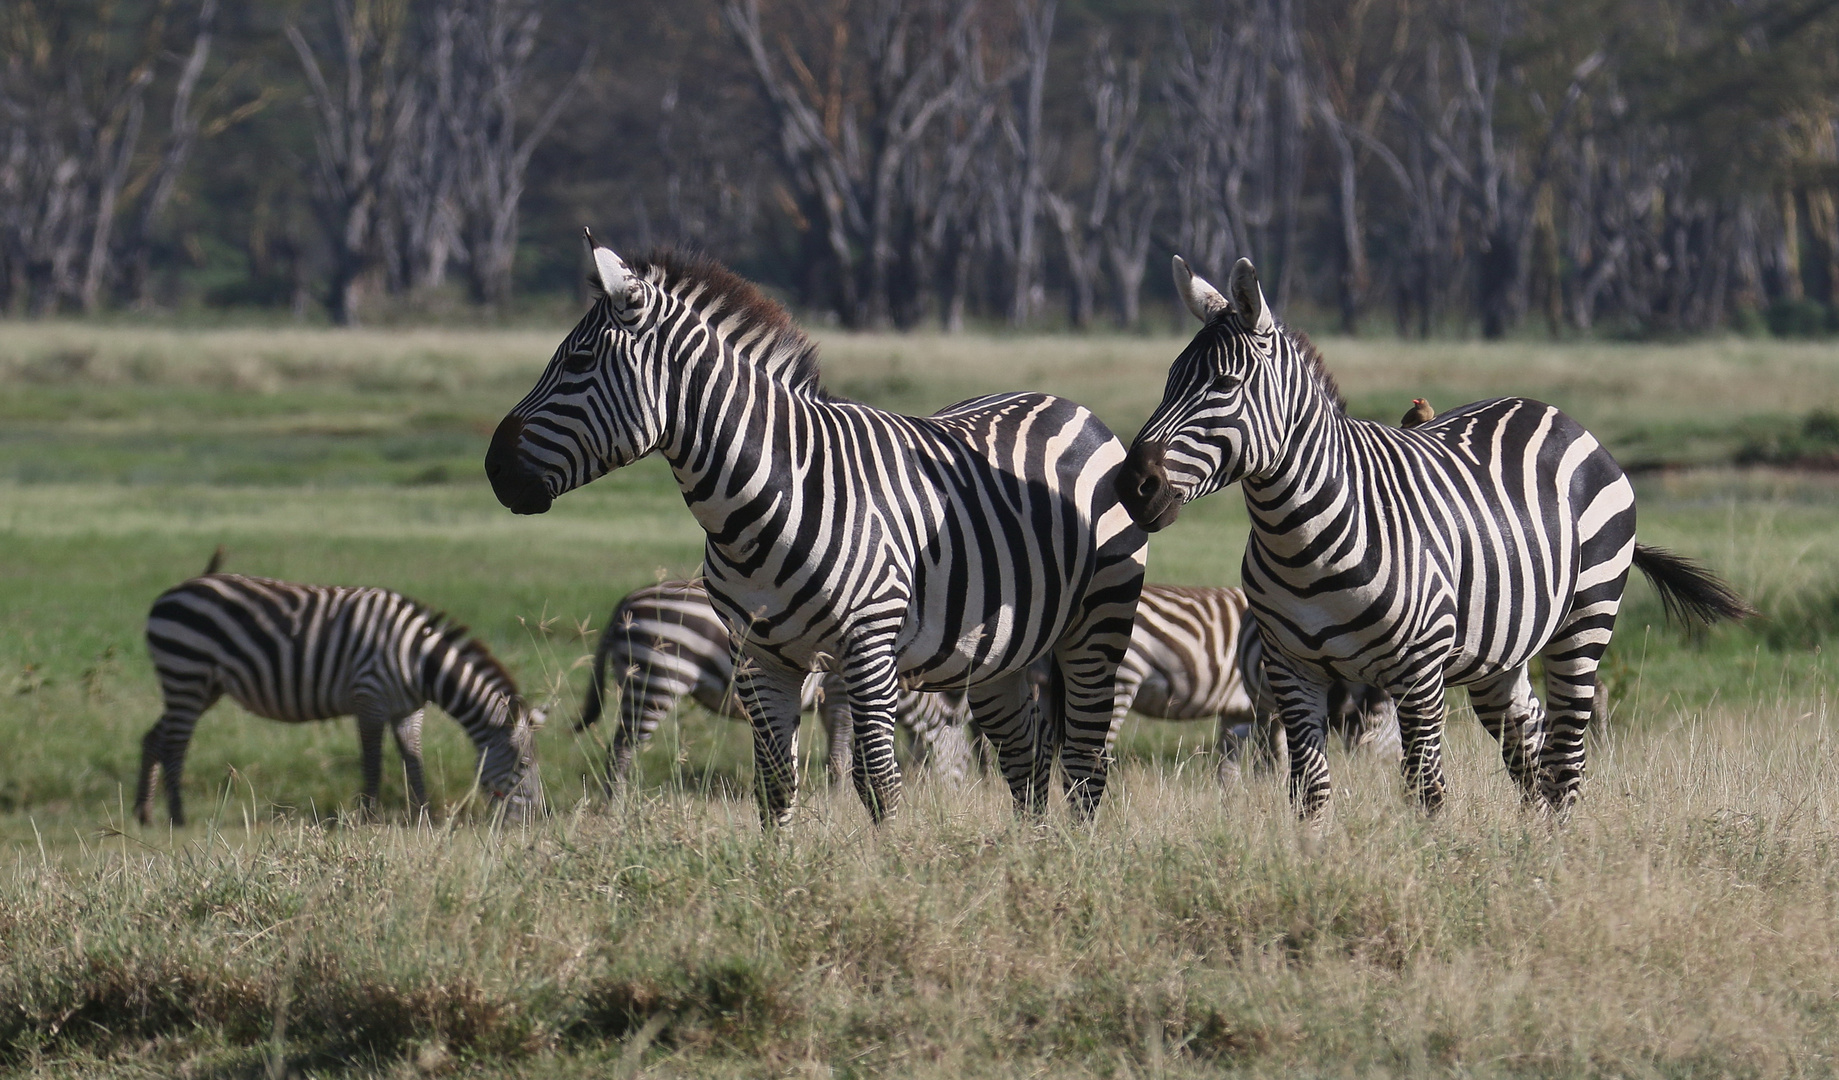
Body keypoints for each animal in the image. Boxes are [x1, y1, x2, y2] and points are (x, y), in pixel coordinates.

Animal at [139, 559, 540, 827]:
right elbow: (373, 762)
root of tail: (170, 593)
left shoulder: (408, 710)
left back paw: (144, 814)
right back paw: (177, 817)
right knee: (175, 743)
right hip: (187, 672)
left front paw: (424, 816)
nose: (539, 818)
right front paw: (369, 818)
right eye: (523, 765)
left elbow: (414, 762)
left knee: (154, 736)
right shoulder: (370, 699)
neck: (421, 662)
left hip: (202, 685)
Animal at [577, 581, 978, 787]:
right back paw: (619, 812)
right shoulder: (839, 695)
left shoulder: (827, 703)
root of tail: (627, 600)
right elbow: (841, 759)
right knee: (620, 752)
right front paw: (841, 806)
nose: (961, 796)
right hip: (655, 681)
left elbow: (836, 757)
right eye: (966, 757)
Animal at [1103, 255, 1750, 820]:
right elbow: (1308, 791)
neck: (1299, 539)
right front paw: (1312, 866)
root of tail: (1556, 413)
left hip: (1584, 621)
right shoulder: (1291, 668)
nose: (1132, 484)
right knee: (1531, 752)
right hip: (1499, 658)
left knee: (1565, 762)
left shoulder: (1416, 673)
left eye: (1225, 383)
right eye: (1168, 380)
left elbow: (1426, 789)